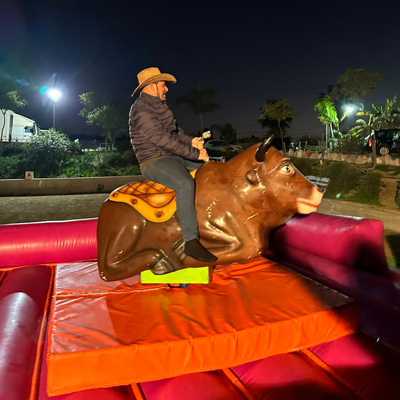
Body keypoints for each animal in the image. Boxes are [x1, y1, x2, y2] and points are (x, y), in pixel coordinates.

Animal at [97, 138, 322, 282]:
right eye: (286, 167)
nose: (318, 191)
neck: (236, 193)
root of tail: (107, 203)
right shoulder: (200, 223)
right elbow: (248, 247)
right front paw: (184, 253)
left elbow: (253, 247)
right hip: (129, 229)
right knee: (106, 269)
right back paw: (160, 261)